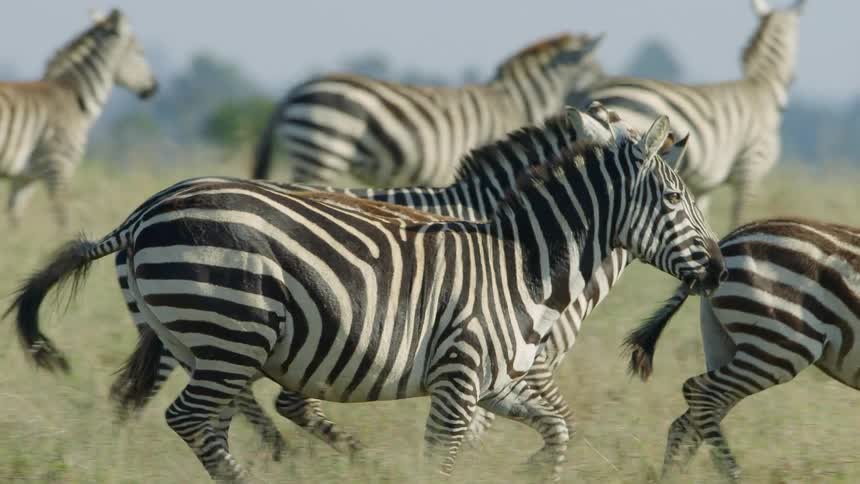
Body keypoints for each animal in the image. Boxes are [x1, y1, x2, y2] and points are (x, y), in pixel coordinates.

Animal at [0, 9, 157, 226]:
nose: (154, 88)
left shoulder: (24, 179)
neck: (76, 97)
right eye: (140, 52)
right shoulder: (58, 166)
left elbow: (15, 222)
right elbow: (64, 219)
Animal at [10, 111, 726, 481]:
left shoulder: (502, 380)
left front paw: (528, 469)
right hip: (229, 326)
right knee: (194, 419)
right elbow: (448, 458)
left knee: (214, 415)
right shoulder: (462, 378)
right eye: (674, 199)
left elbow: (558, 429)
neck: (521, 264)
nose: (720, 266)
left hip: (204, 341)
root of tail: (140, 215)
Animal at [570, 0, 804, 228]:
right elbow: (739, 216)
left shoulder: (703, 186)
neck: (761, 86)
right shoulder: (749, 168)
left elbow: (699, 214)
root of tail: (587, 92)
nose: (793, 79)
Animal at [623, 218, 860, 481]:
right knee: (700, 392)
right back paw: (732, 474)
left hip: (726, 345)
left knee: (688, 420)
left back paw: (673, 478)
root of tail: (724, 243)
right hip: (779, 345)